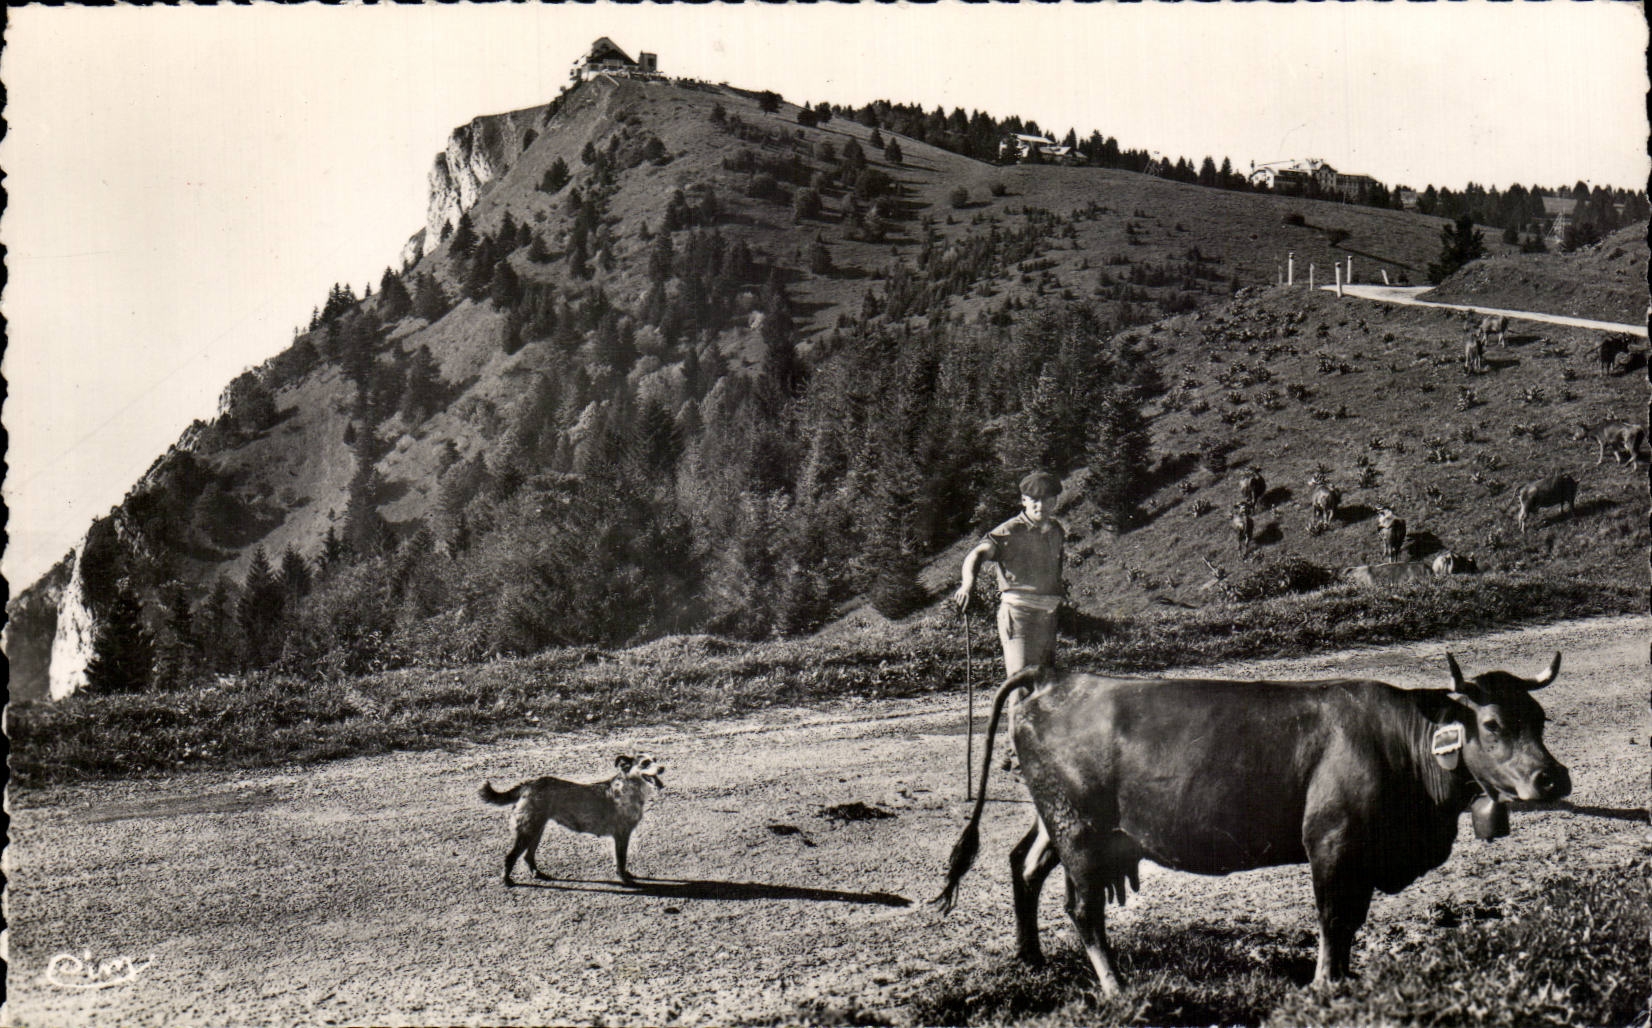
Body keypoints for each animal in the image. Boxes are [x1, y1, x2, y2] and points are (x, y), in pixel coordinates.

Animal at [930, 653, 1571, 994]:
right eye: (1492, 724)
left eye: (1539, 717)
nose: (1553, 779)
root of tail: (1057, 678)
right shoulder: (1333, 843)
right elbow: (1333, 919)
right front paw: (1323, 984)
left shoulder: (1361, 856)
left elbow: (1351, 922)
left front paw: (1342, 979)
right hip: (1081, 831)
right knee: (1082, 908)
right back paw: (1114, 988)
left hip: (1060, 824)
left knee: (1025, 867)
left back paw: (1031, 957)